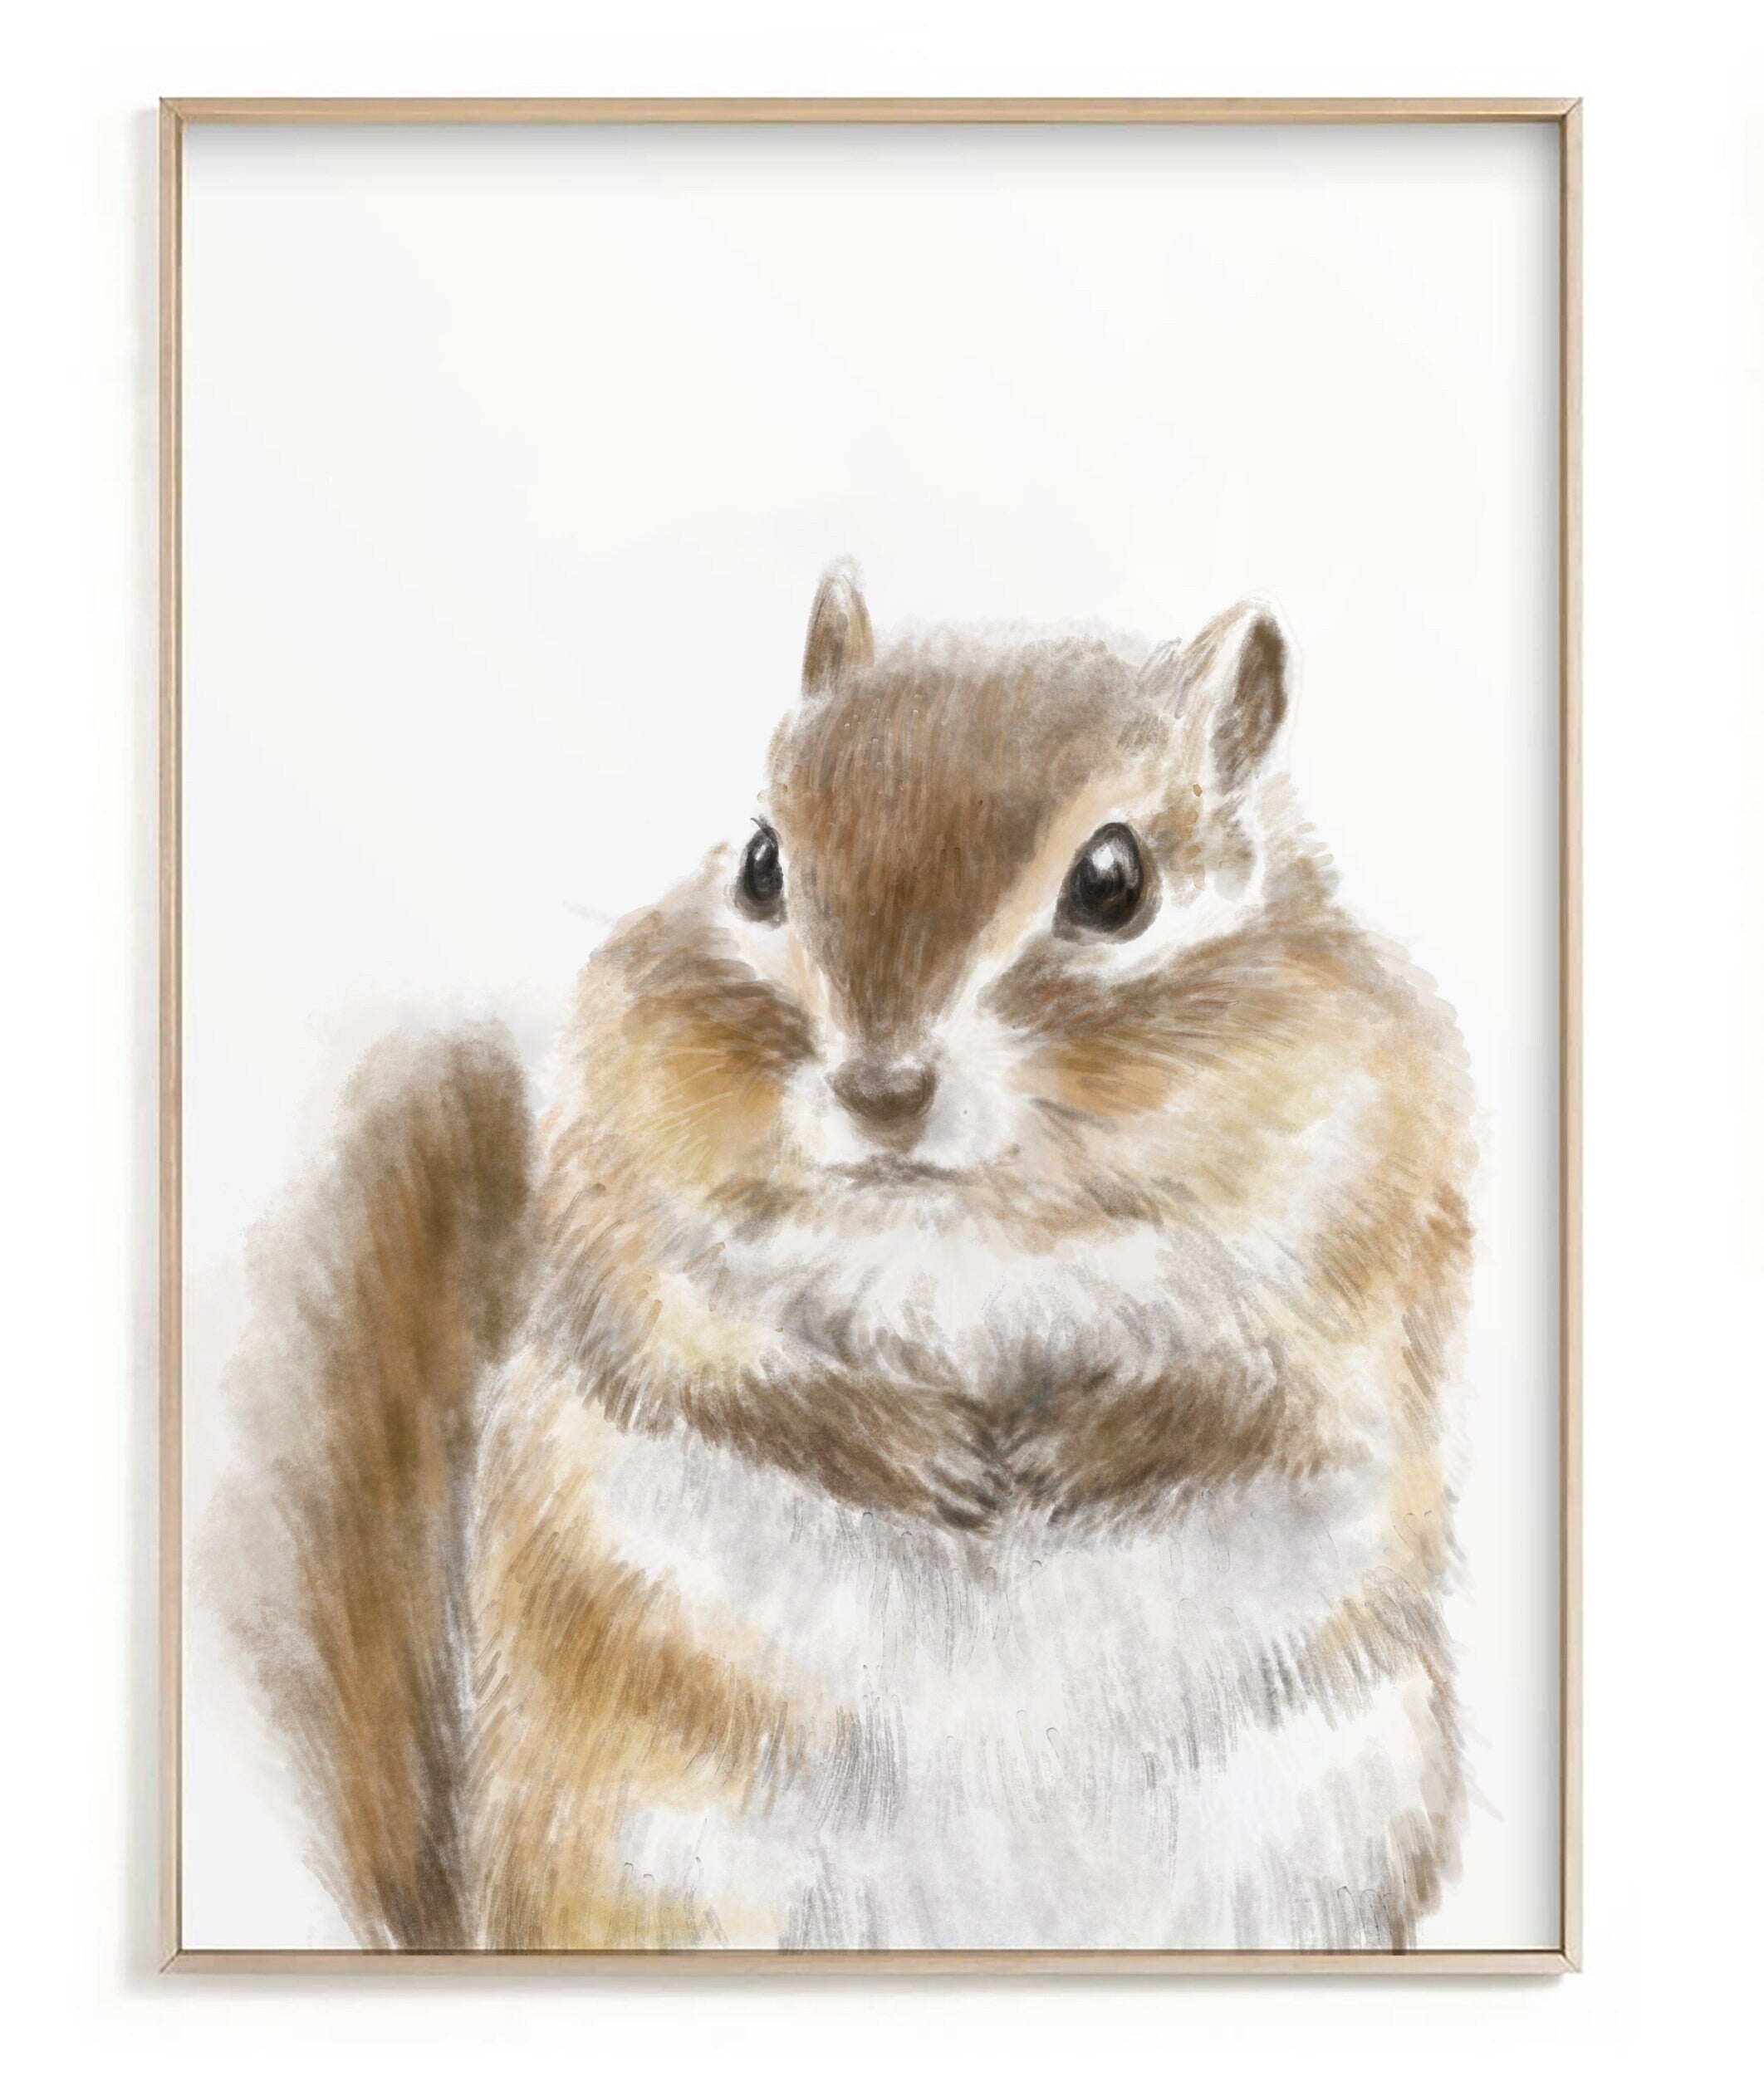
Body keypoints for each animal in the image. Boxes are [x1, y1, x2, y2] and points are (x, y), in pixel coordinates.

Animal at [226, 563, 1475, 1953]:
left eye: (1114, 883)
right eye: (763, 863)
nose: (882, 1090)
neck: (977, 1222)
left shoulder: (1369, 1229)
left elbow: (1270, 1399)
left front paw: (1082, 1448)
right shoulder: (625, 1213)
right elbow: (709, 1370)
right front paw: (912, 1452)